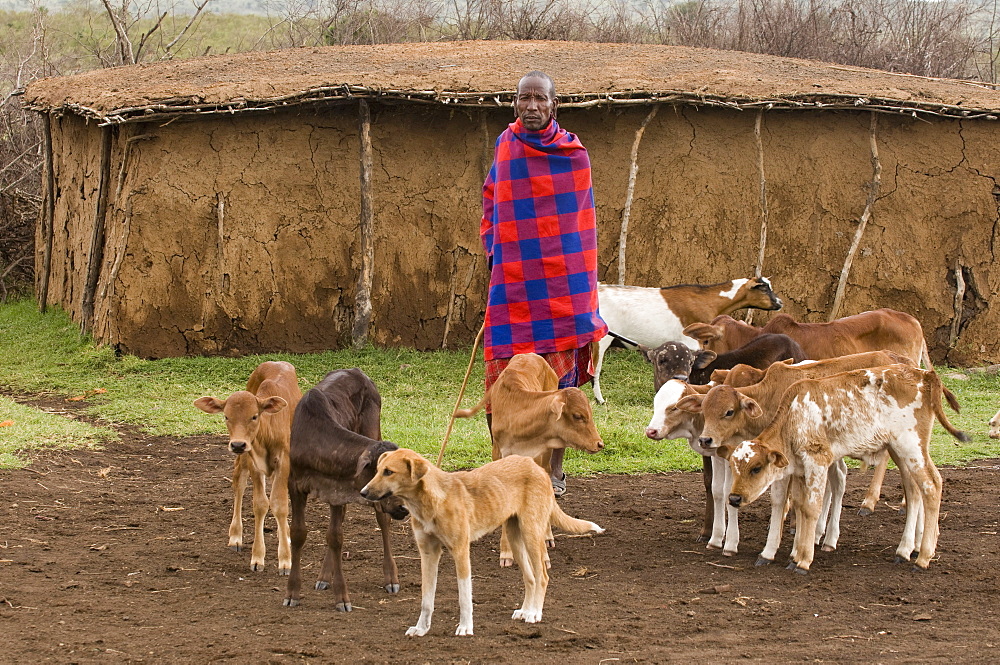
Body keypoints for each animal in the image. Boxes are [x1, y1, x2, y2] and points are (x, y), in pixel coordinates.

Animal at [192, 360, 298, 572]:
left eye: (254, 416)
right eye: (226, 416)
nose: (238, 444)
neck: (267, 431)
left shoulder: (284, 461)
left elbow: (280, 504)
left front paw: (285, 560)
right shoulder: (252, 460)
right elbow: (260, 504)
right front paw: (257, 557)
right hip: (243, 460)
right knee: (238, 483)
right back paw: (235, 536)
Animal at [284, 368, 408, 612]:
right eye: (385, 472)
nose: (403, 508)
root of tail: (358, 372)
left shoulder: (336, 490)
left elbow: (335, 537)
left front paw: (342, 597)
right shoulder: (295, 485)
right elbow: (298, 533)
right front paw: (292, 592)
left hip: (373, 428)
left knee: (382, 518)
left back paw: (391, 577)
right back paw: (324, 576)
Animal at [360, 448, 600, 636]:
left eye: (389, 472)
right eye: (377, 470)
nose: (363, 492)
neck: (431, 501)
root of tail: (537, 467)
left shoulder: (460, 551)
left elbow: (464, 597)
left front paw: (466, 627)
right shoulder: (428, 554)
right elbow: (426, 599)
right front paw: (421, 629)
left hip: (532, 533)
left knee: (542, 576)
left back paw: (534, 613)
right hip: (515, 539)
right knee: (530, 578)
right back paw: (525, 611)